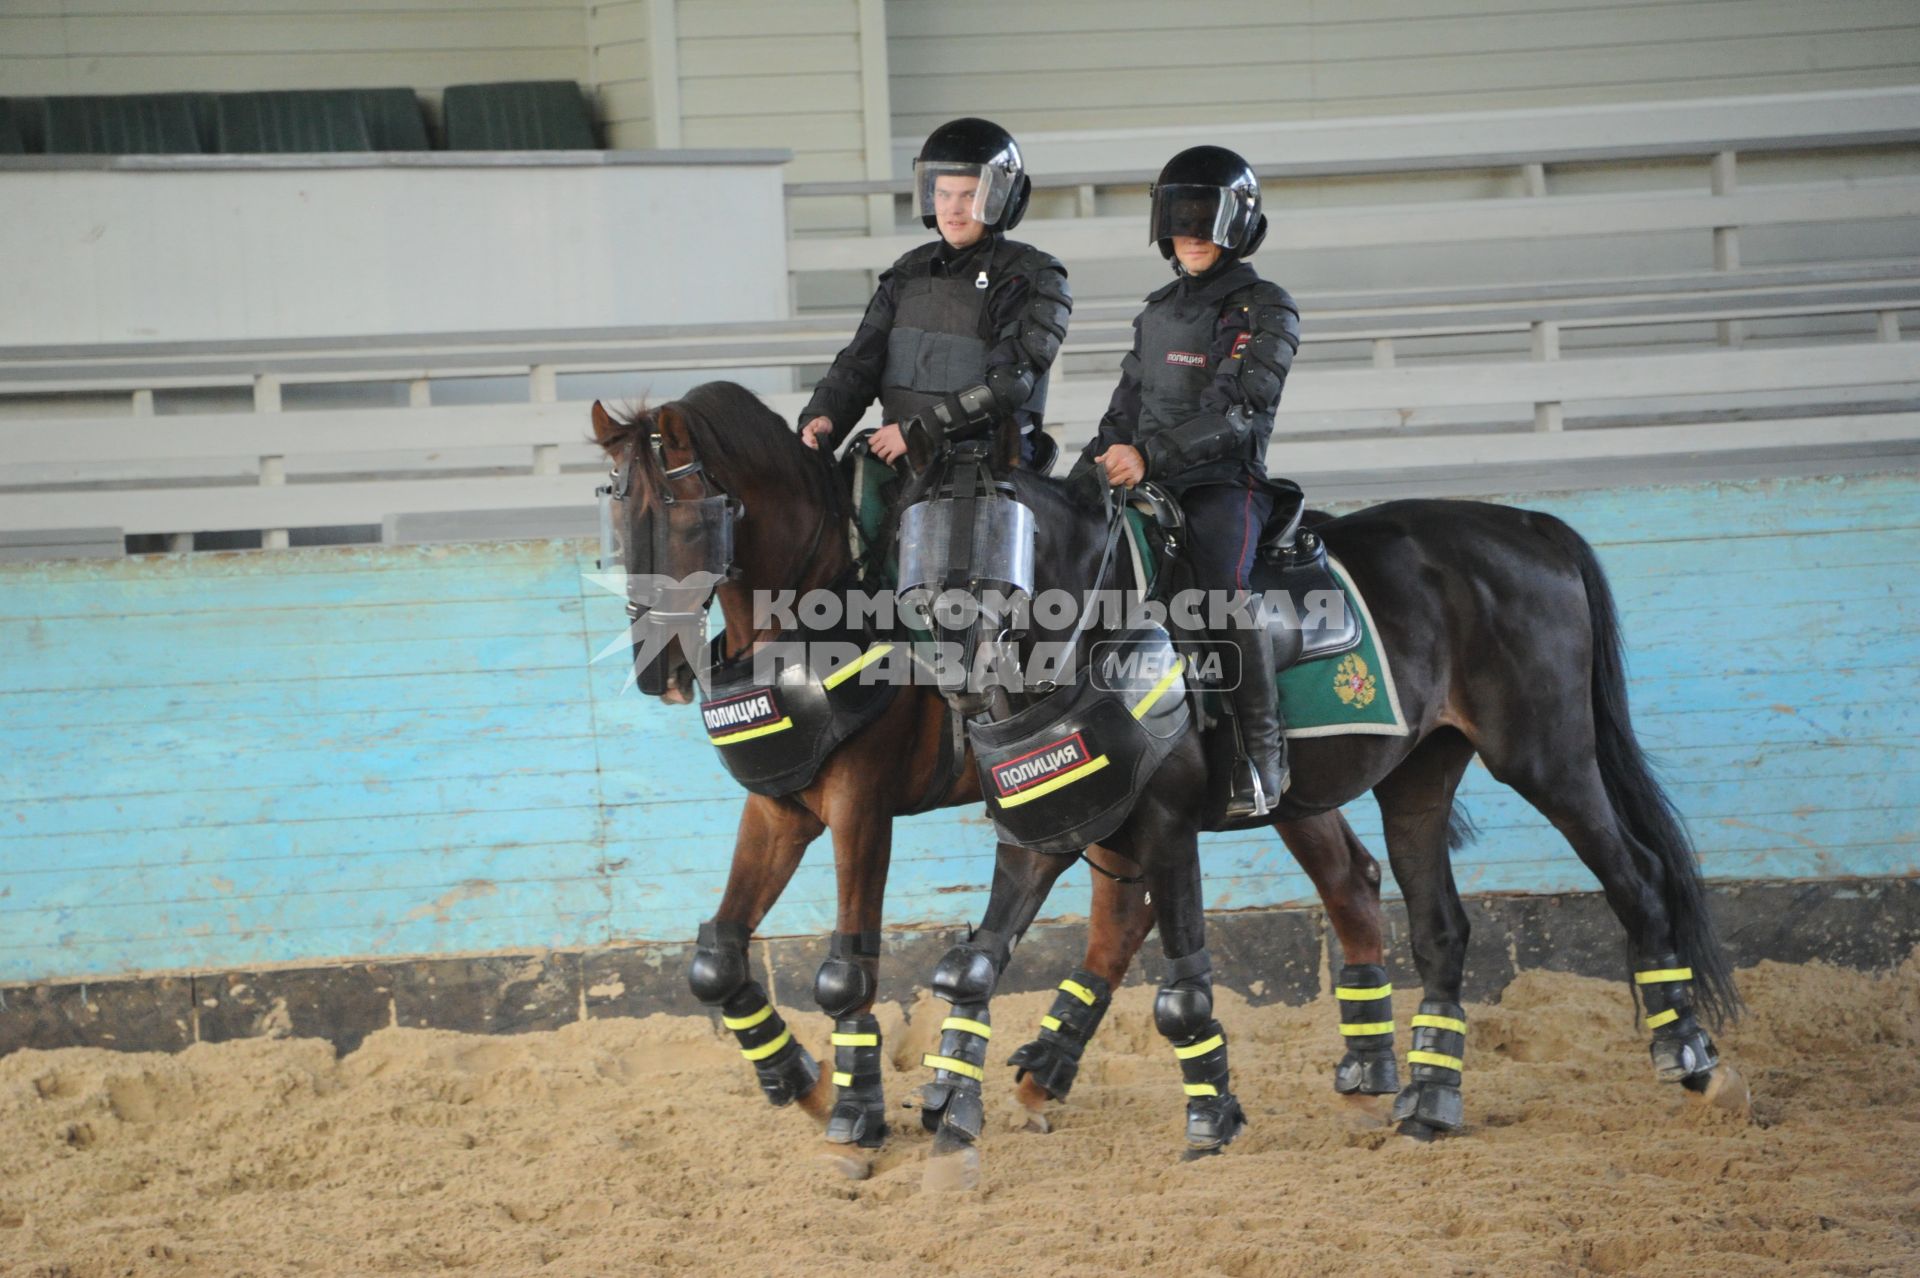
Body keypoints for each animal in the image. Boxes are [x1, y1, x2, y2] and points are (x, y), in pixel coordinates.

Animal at [583, 379, 1397, 1174]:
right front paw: (803, 1084)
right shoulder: (781, 805)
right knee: (1323, 886)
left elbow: (847, 966)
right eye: (617, 516)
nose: (655, 667)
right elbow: (716, 958)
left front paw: (856, 1116)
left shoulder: (861, 805)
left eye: (686, 516)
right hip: (1216, 799)